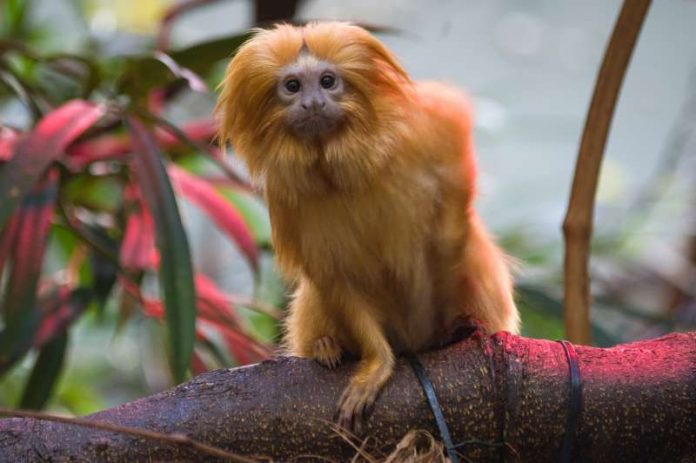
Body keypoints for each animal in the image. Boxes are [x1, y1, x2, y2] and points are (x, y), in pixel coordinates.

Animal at [215, 21, 520, 434]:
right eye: (293, 86)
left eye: (327, 81)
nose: (313, 103)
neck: (333, 162)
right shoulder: (286, 198)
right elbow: (331, 277)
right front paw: (376, 364)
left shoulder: (415, 132)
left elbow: (454, 159)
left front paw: (444, 251)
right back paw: (328, 345)